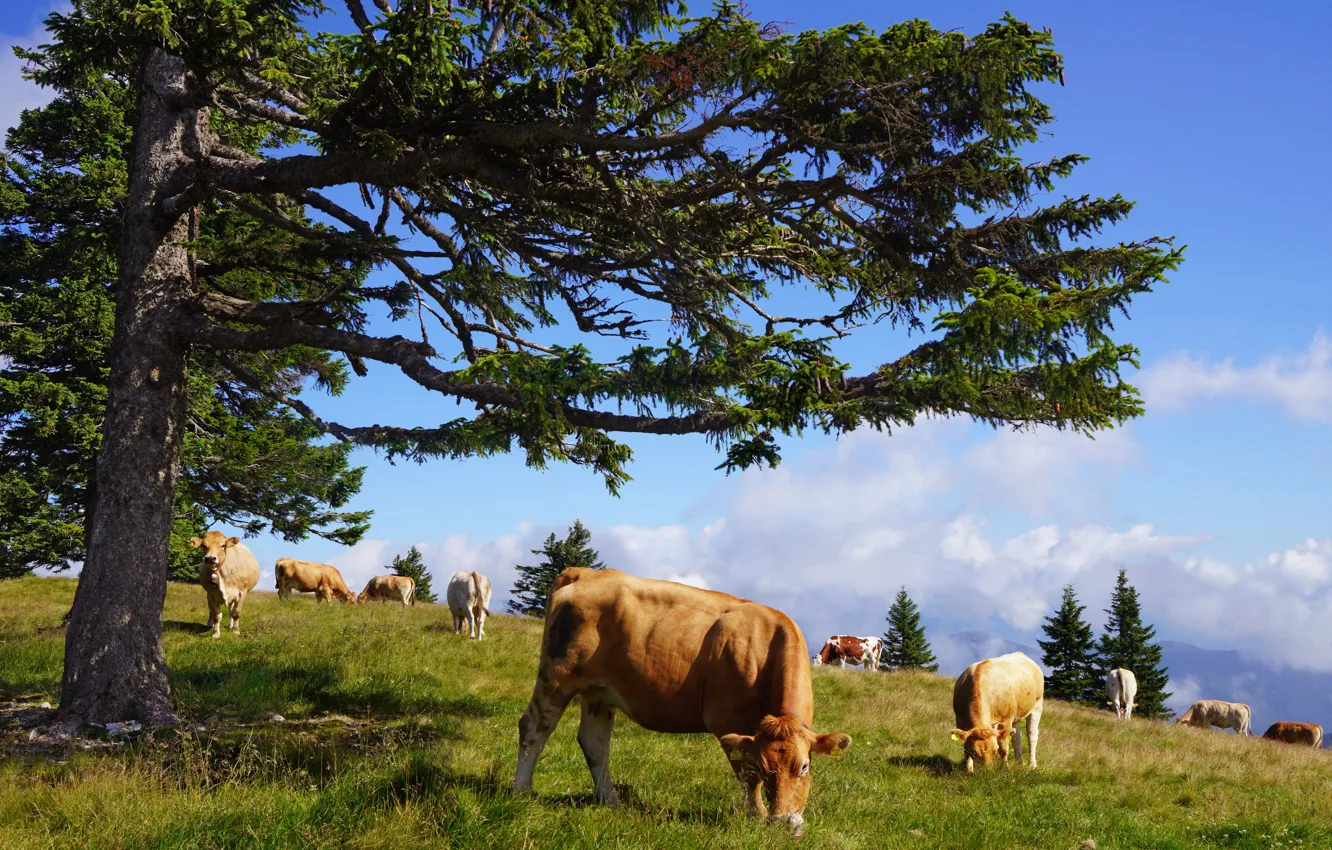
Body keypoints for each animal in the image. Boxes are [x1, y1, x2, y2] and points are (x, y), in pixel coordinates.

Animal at [514, 564, 847, 842]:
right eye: (767, 768)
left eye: (804, 766)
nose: (785, 823)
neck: (766, 648)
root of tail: (583, 573)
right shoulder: (727, 721)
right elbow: (747, 776)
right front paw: (757, 816)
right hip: (556, 677)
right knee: (534, 727)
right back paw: (521, 791)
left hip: (598, 692)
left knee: (594, 744)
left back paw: (611, 801)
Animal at [953, 650, 1044, 778]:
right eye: (974, 752)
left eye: (994, 750)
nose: (986, 772)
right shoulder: (960, 720)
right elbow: (965, 748)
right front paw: (968, 770)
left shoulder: (1005, 720)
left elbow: (1004, 748)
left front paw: (1005, 769)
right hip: (1015, 716)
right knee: (1017, 736)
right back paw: (1019, 762)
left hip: (1037, 706)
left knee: (1032, 736)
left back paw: (1032, 765)